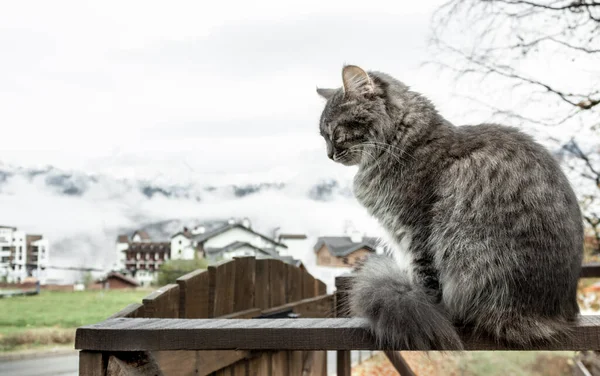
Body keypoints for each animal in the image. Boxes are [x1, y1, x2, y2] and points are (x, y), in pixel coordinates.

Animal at [316, 64, 584, 350]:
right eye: (323, 136)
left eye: (335, 132)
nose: (329, 155)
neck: (403, 144)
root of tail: (556, 312)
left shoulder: (416, 231)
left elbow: (425, 281)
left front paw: (424, 308)